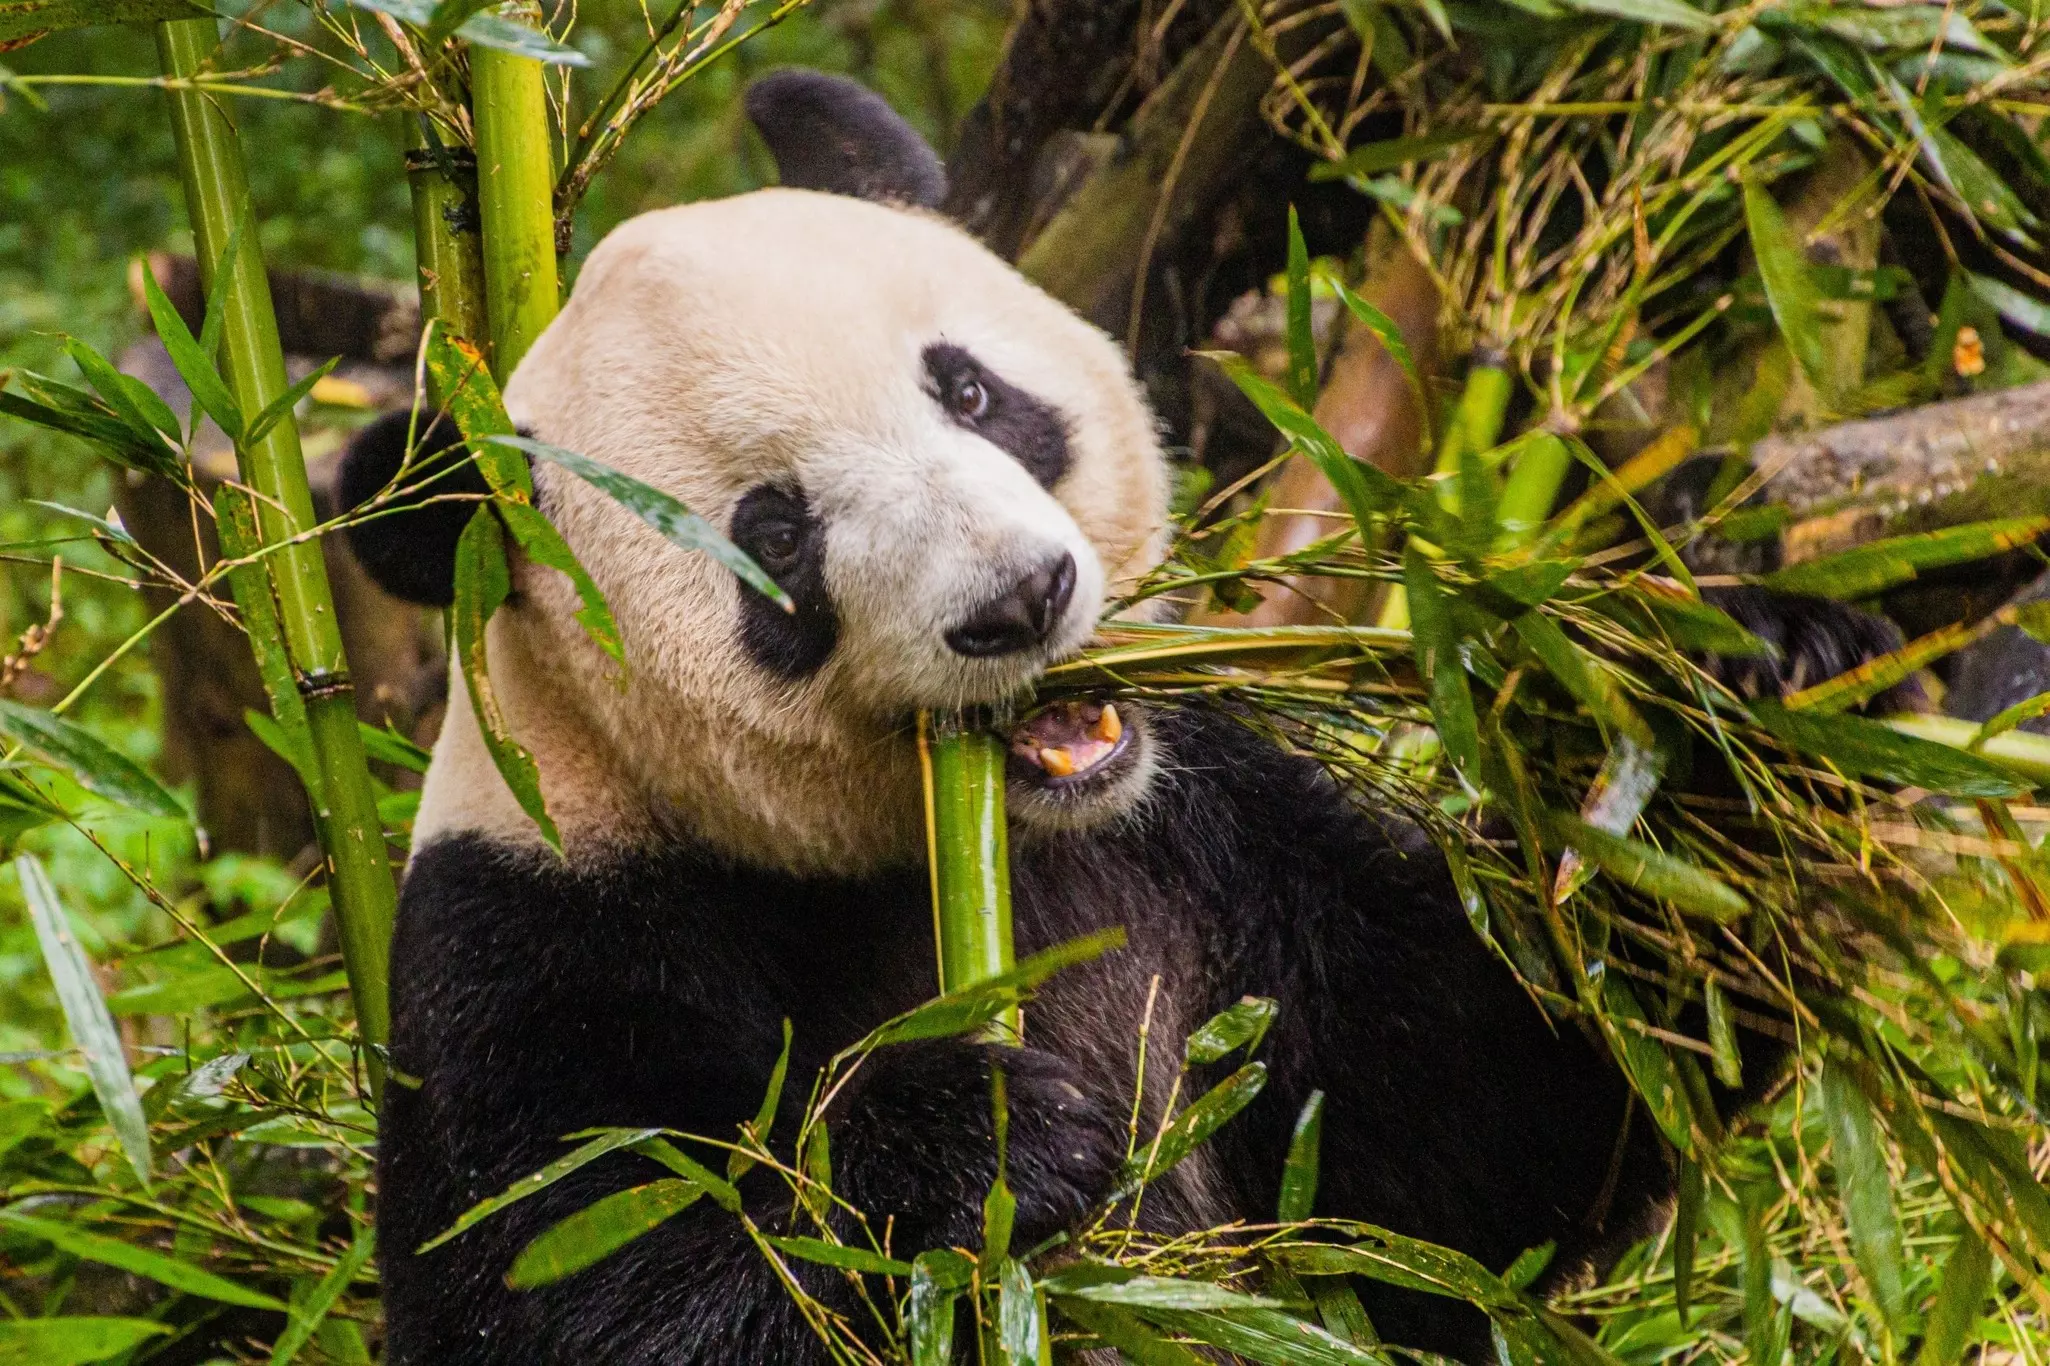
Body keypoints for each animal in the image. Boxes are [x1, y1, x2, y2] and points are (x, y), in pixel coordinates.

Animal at [341, 71, 1872, 1366]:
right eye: (773, 538)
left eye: (970, 390)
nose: (1019, 598)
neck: (968, 845)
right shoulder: (545, 933)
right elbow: (603, 1274)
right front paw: (984, 1134)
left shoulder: (1210, 829)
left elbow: (1460, 1128)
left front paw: (1759, 697)